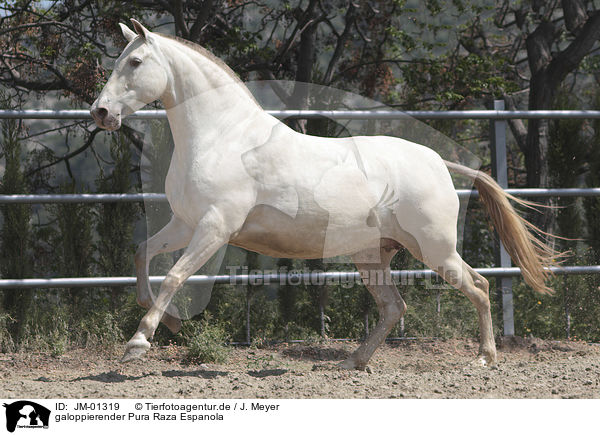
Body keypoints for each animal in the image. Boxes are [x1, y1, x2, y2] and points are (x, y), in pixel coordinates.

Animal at [90, 18, 556, 370]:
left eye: (135, 61)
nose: (101, 112)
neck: (222, 136)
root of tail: (439, 163)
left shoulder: (214, 228)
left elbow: (173, 275)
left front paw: (139, 343)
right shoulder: (185, 224)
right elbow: (142, 253)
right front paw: (166, 324)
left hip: (434, 249)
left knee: (478, 286)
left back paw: (484, 357)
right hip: (373, 256)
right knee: (395, 307)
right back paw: (352, 361)